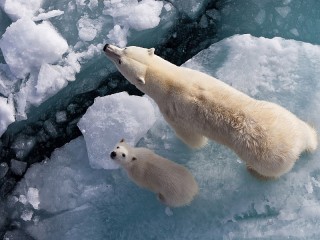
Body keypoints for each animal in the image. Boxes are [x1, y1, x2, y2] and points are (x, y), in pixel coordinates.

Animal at [104, 43, 318, 178]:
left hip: (267, 158)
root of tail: (297, 144)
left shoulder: (172, 111)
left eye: (121, 59)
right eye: (125, 48)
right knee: (305, 129)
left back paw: (252, 171)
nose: (106, 46)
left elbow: (191, 138)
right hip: (282, 114)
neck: (171, 81)